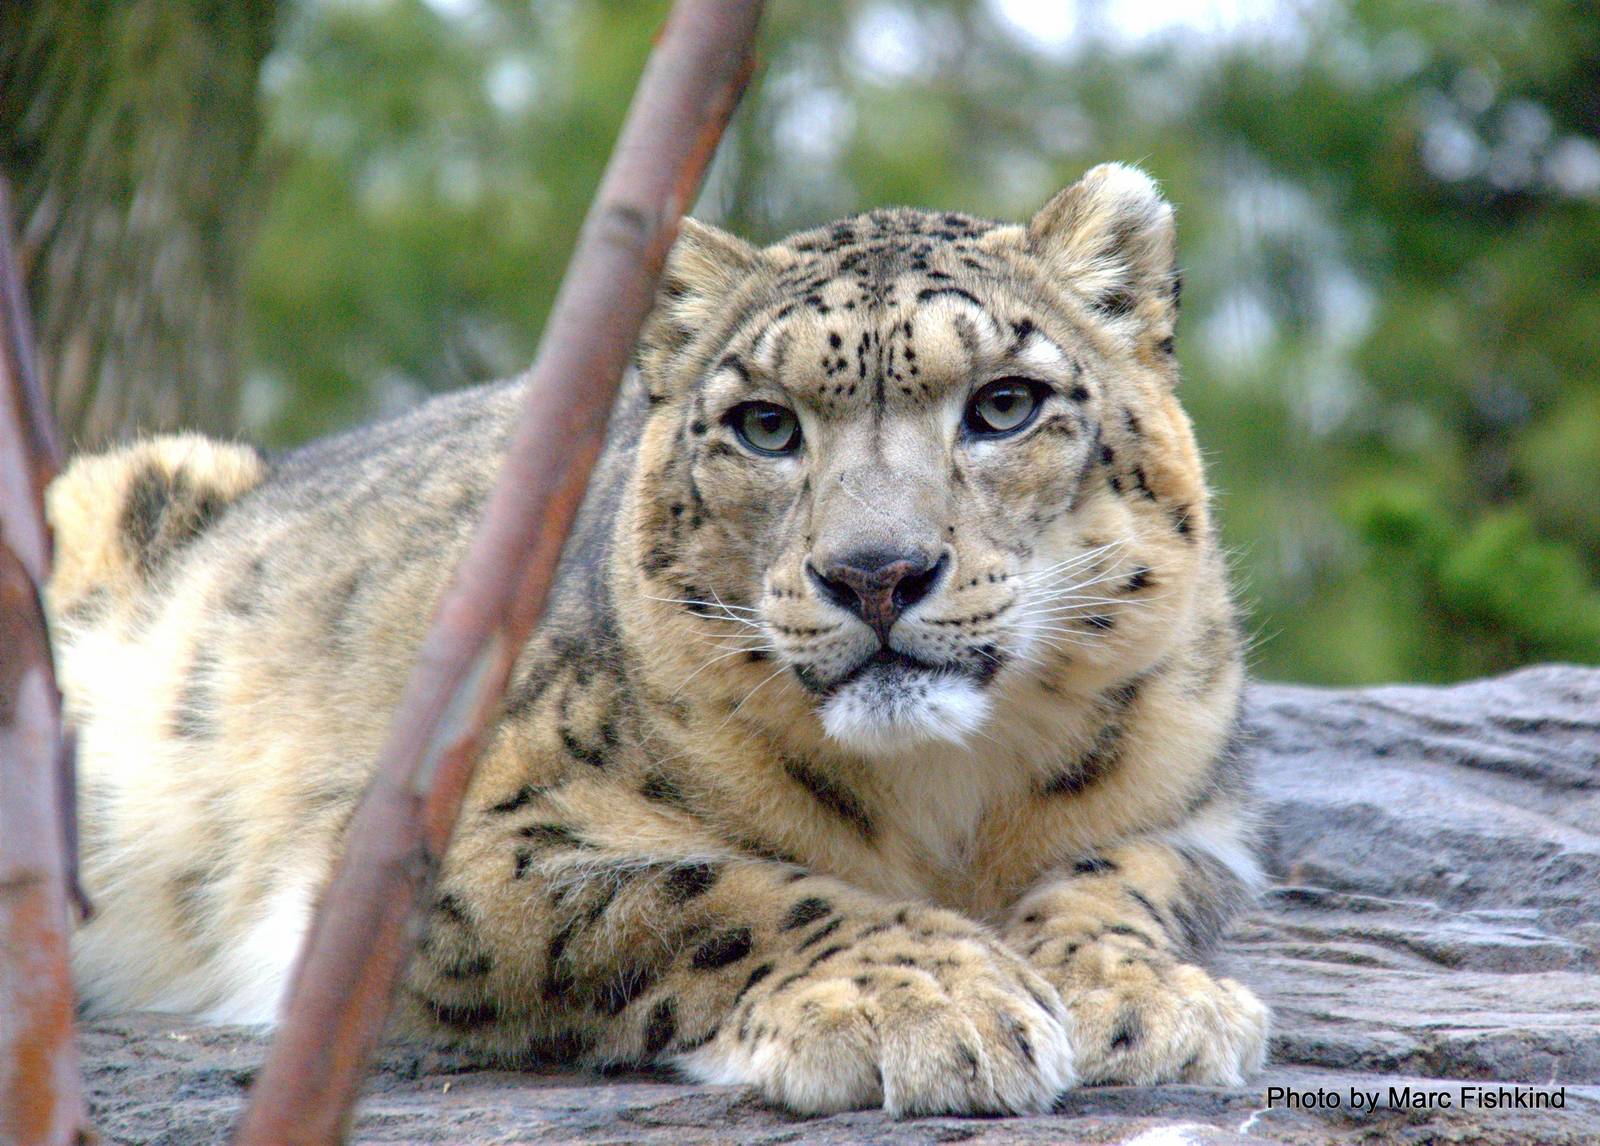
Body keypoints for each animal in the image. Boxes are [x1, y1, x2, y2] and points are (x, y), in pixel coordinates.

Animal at [48, 163, 1267, 1117]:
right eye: (765, 425)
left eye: (1006, 404)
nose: (875, 572)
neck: (943, 799)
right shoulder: (466, 834)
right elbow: (714, 890)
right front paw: (927, 1000)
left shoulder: (1188, 806)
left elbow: (1118, 877)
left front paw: (1147, 999)